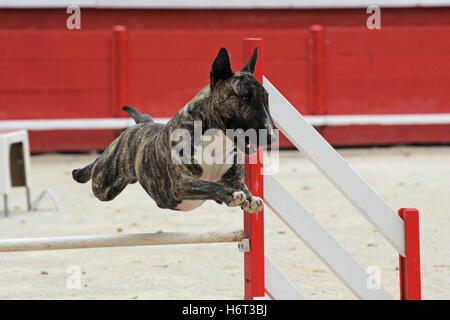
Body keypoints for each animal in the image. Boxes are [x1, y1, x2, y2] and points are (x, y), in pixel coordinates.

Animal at [72, 47, 276, 212]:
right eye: (245, 98)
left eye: (266, 98)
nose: (271, 137)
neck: (216, 137)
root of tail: (141, 123)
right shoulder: (181, 183)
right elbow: (211, 186)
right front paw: (232, 195)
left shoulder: (233, 180)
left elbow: (242, 189)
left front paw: (251, 198)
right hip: (104, 183)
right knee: (96, 167)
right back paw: (79, 172)